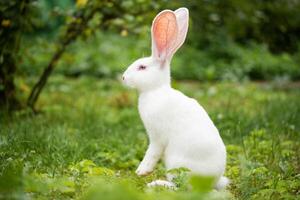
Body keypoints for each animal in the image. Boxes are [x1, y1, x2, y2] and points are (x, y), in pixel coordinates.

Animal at [122, 7, 230, 190]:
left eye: (142, 67)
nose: (123, 78)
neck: (156, 90)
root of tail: (211, 182)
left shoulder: (157, 138)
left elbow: (152, 154)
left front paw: (141, 171)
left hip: (176, 162)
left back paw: (157, 184)